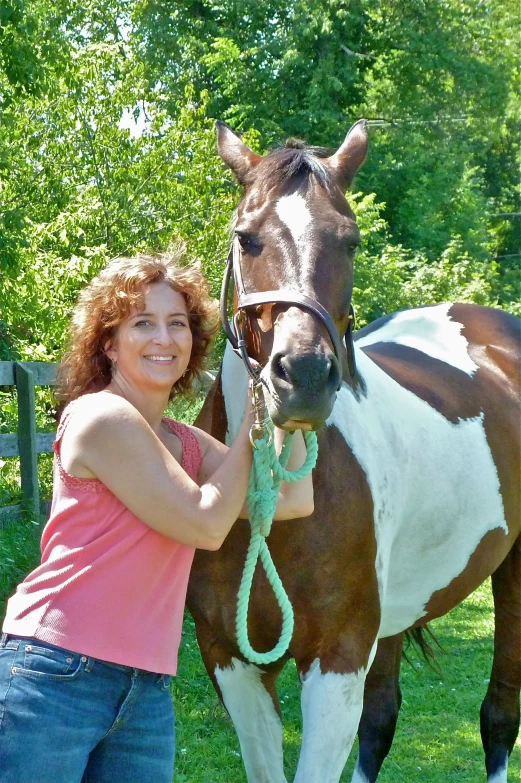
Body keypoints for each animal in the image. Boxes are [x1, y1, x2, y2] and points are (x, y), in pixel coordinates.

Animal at [185, 121, 516, 783]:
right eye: (246, 237)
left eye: (351, 241)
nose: (305, 376)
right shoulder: (230, 658)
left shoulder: (337, 655)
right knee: (382, 720)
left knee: (499, 714)